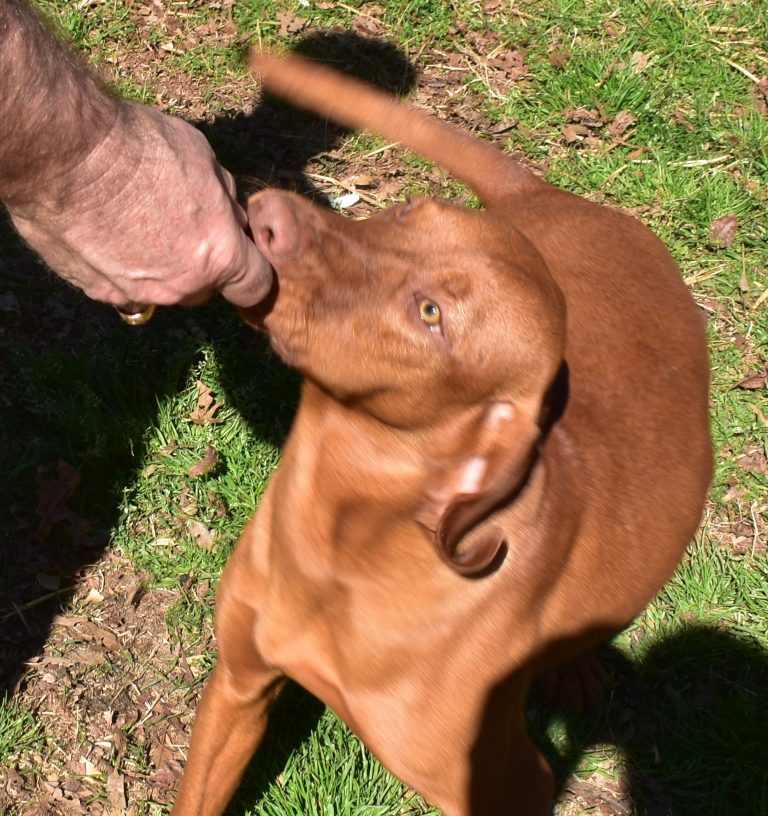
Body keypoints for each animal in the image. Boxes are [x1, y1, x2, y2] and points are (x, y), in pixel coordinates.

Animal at [171, 52, 712, 815]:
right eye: (403, 212)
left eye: (431, 315)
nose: (269, 215)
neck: (338, 546)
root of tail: (546, 190)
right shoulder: (239, 685)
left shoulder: (509, 785)